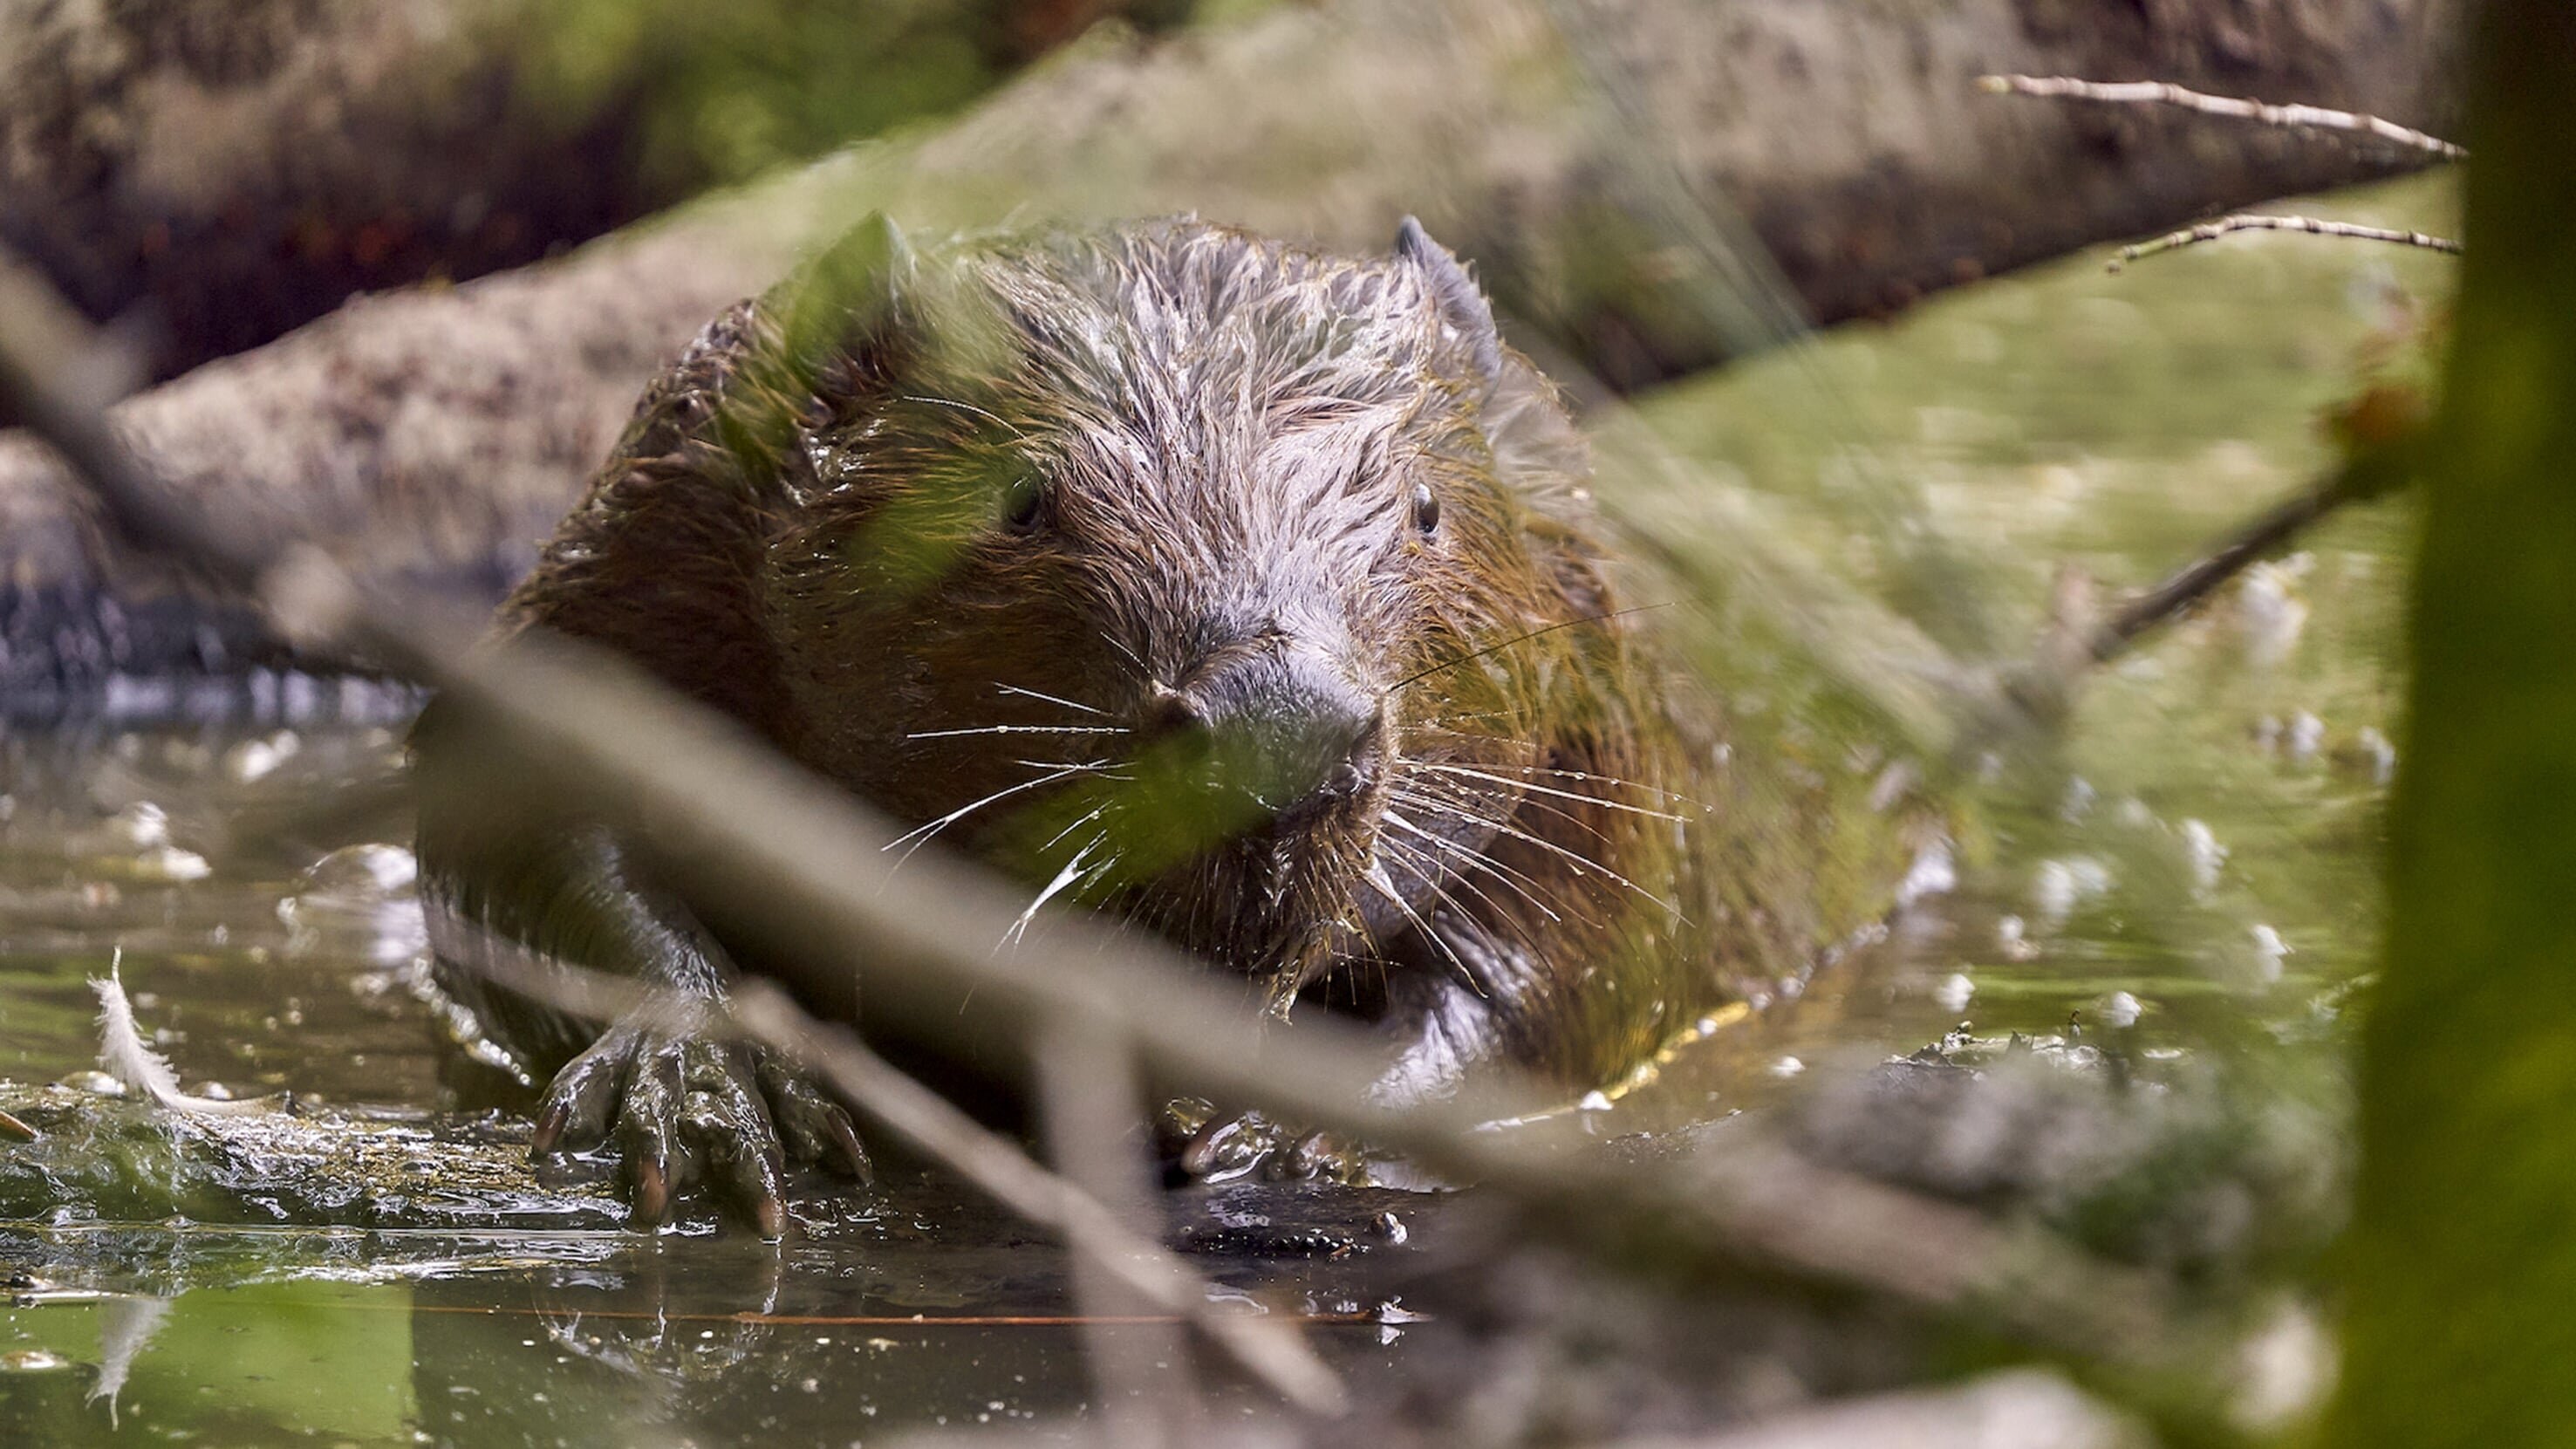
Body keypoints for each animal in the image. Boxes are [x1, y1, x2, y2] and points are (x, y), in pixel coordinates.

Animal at [401, 214, 1864, 1227]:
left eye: (1427, 510)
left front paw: (1291, 1128)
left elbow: (1594, 949)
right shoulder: (664, 518)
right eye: (1020, 499)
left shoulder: (1616, 686)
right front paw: (705, 1092)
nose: (1281, 723)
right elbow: (515, 807)